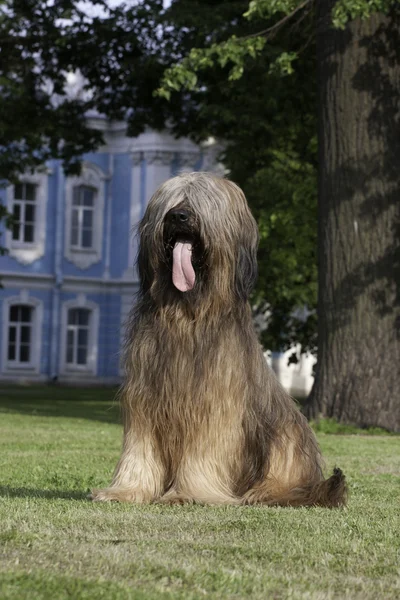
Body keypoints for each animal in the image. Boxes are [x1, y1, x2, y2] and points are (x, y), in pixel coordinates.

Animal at [90, 171, 346, 504]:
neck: (186, 314)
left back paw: (265, 491)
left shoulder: (214, 404)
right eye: (171, 201)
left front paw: (186, 493)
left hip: (285, 433)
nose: (179, 216)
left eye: (202, 201)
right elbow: (139, 448)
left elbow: (203, 449)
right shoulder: (144, 400)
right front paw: (126, 490)